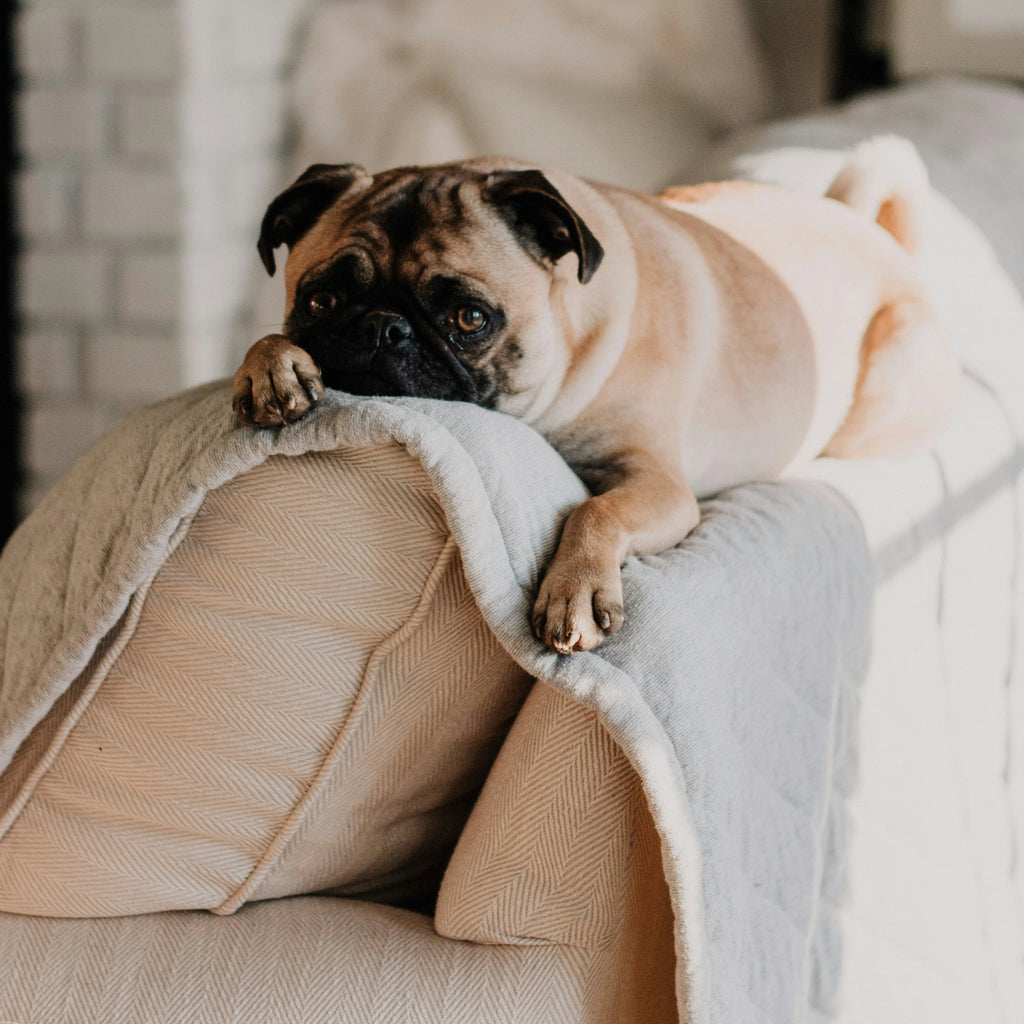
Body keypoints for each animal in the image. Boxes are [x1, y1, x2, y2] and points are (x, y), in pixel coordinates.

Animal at [232, 138, 958, 655]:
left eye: (470, 319)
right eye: (321, 300)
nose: (385, 329)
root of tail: (873, 232)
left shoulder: (659, 484)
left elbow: (596, 511)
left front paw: (574, 590)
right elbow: (268, 341)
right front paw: (270, 366)